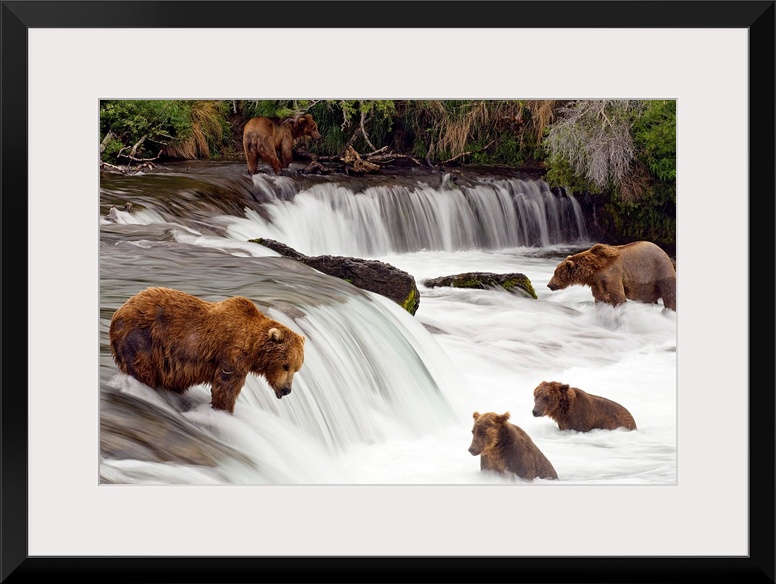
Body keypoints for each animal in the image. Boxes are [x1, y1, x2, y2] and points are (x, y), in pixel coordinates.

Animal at [108, 287, 305, 414]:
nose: (287, 389)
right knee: (142, 368)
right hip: (142, 338)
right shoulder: (232, 355)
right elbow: (226, 387)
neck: (252, 346)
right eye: (285, 365)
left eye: (297, 368)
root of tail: (118, 311)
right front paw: (224, 411)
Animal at [547, 241, 676, 311]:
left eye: (556, 273)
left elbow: (617, 297)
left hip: (660, 269)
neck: (593, 273)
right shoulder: (597, 284)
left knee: (669, 294)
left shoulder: (611, 274)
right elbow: (599, 298)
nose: (549, 285)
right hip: (647, 287)